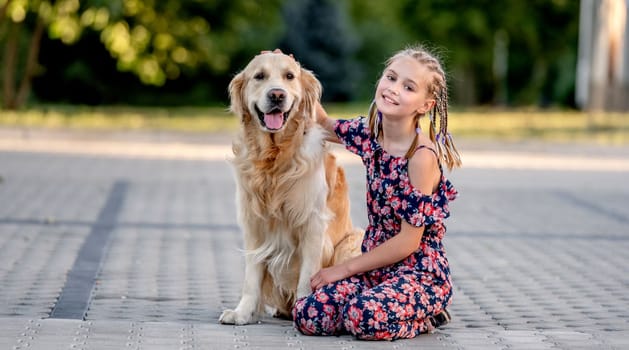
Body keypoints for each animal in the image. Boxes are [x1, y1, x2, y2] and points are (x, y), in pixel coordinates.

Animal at [218, 52, 360, 326]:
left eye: (290, 76)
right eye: (259, 76)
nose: (276, 95)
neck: (274, 159)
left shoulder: (313, 223)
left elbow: (307, 275)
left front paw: (305, 308)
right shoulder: (254, 223)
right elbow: (251, 278)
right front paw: (242, 313)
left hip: (353, 242)